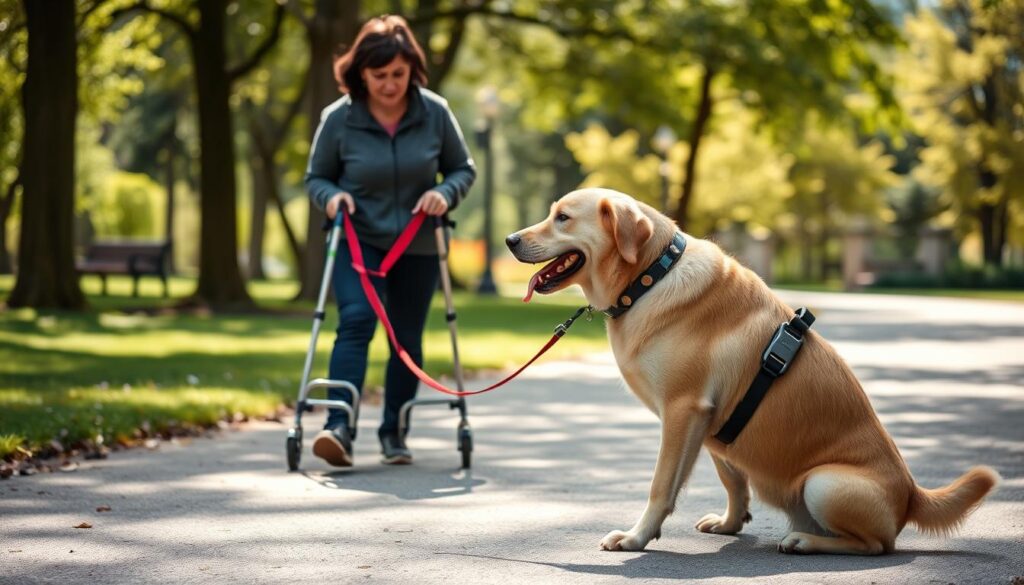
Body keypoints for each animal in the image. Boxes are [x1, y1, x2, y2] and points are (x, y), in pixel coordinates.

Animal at [507, 188, 995, 557]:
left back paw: (805, 540)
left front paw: (636, 537)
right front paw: (731, 523)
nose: (510, 239)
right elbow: (733, 481)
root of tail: (912, 492)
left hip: (823, 483)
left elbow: (661, 486)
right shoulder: (710, 426)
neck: (649, 278)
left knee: (878, 545)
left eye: (563, 218)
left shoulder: (683, 411)